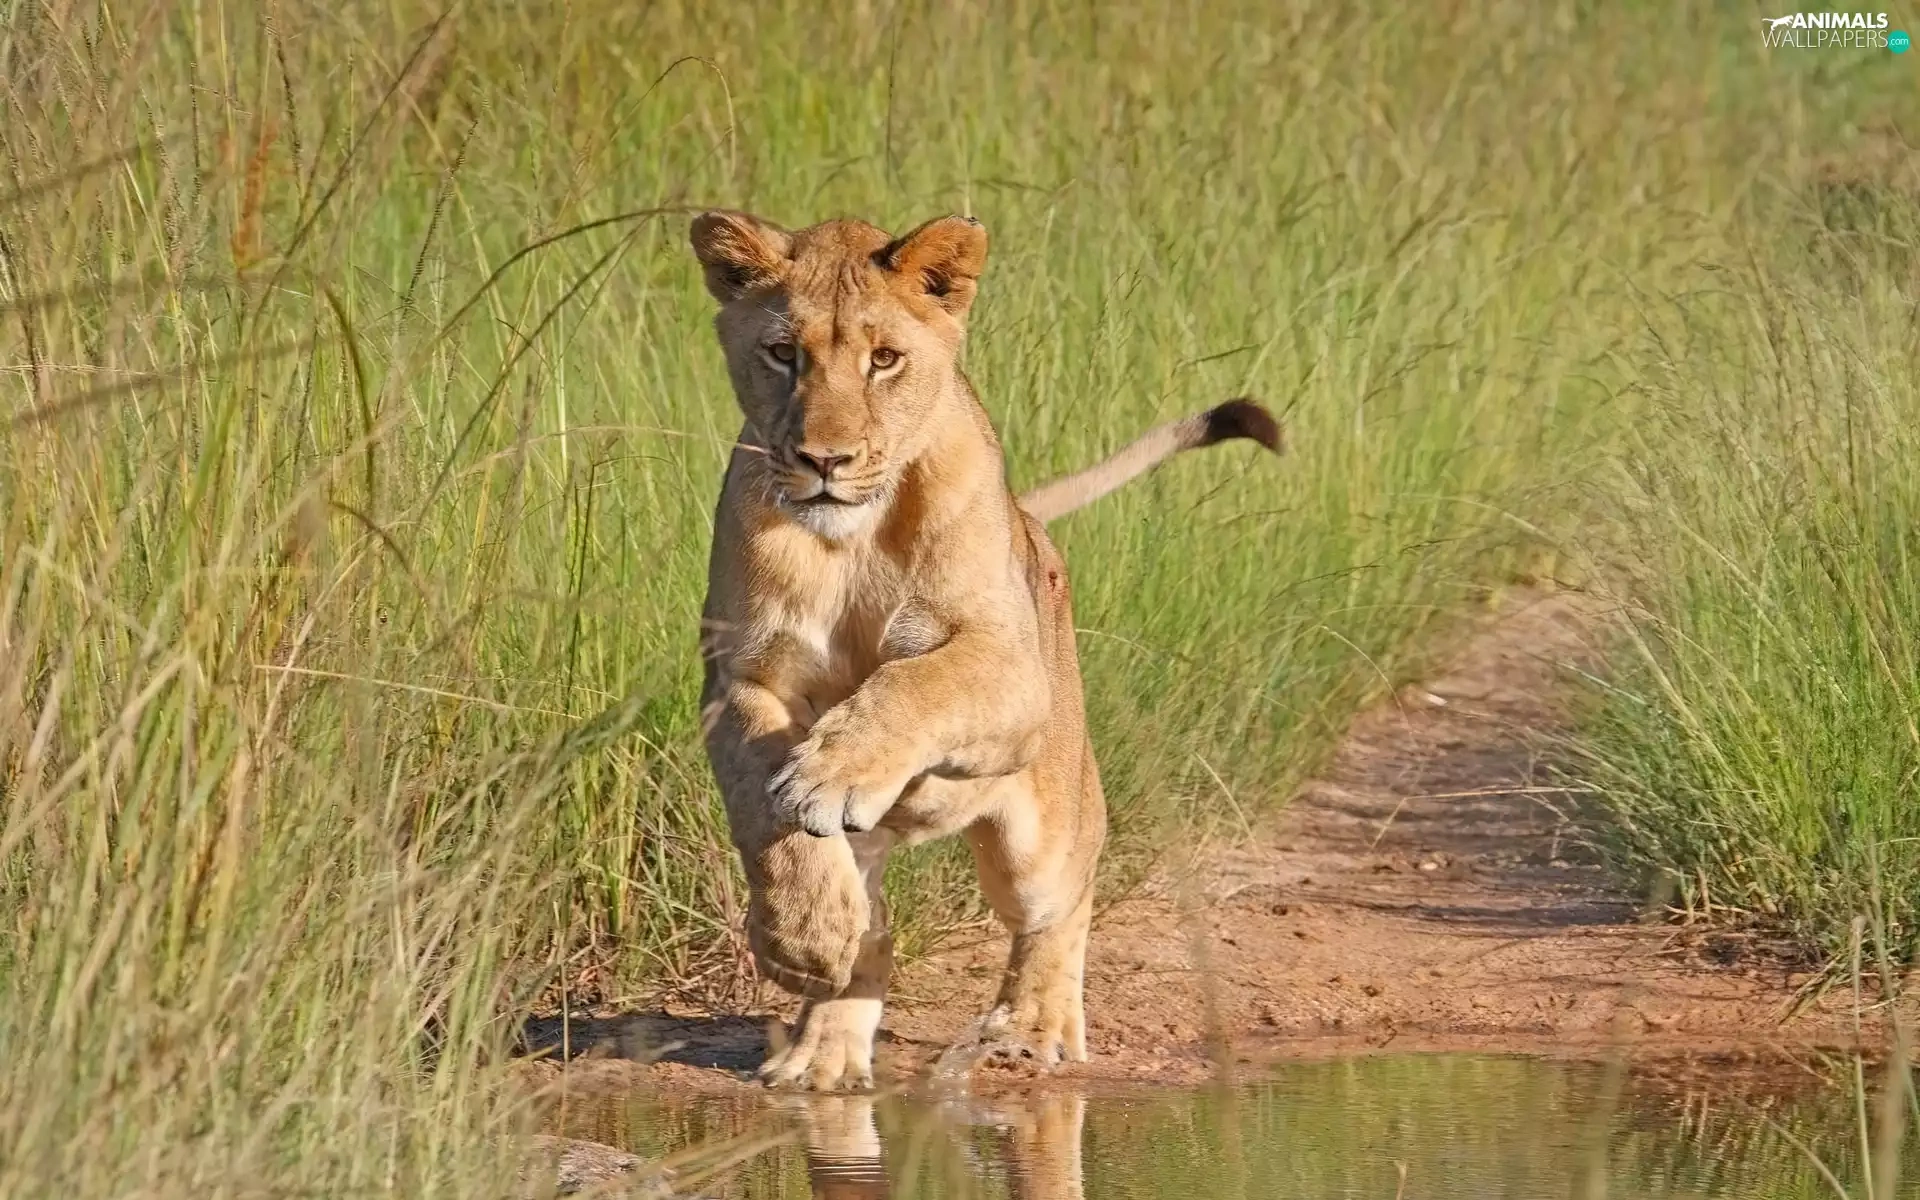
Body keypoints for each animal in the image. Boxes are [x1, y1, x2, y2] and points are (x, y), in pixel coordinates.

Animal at [690, 209, 1280, 1090]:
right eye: (783, 352)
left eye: (884, 359)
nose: (824, 460)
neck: (850, 538)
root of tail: (1030, 521)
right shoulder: (742, 680)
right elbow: (767, 806)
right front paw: (803, 937)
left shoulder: (1008, 665)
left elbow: (913, 686)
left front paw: (834, 773)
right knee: (876, 935)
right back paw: (823, 1048)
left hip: (1042, 830)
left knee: (1061, 899)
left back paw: (1032, 1028)